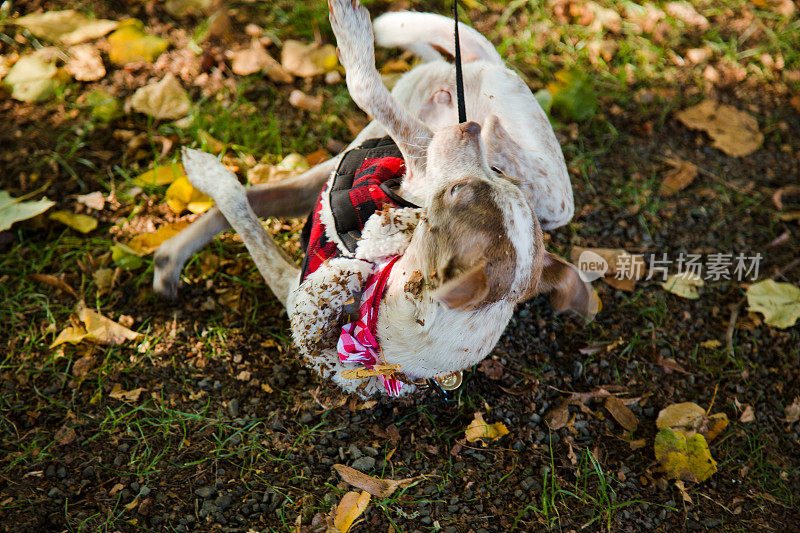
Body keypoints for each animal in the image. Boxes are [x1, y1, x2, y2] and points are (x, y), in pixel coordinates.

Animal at [156, 2, 596, 396]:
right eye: (497, 177)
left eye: (457, 191)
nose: (469, 128)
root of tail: (495, 66)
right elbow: (240, 208)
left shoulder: (293, 285)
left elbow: (244, 220)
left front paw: (208, 171)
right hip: (346, 159)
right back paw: (170, 256)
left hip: (398, 151)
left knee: (366, 94)